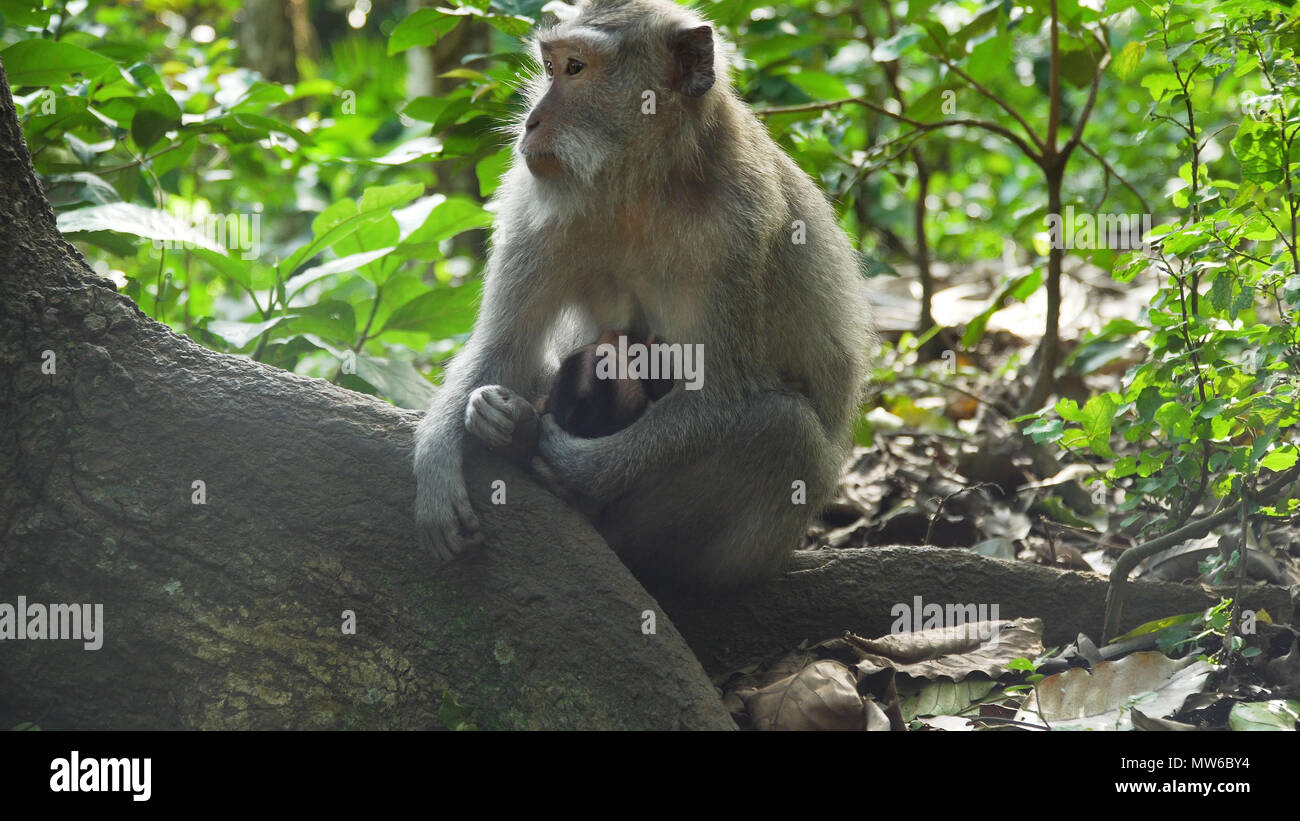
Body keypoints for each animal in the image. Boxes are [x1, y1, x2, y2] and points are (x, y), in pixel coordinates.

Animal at [413, 0, 875, 590]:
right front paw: (437, 463)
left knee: (783, 431)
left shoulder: (741, 230)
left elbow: (718, 395)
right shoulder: (530, 202)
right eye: (549, 66)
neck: (642, 182)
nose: (532, 121)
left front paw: (564, 459)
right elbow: (504, 346)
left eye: (576, 69)